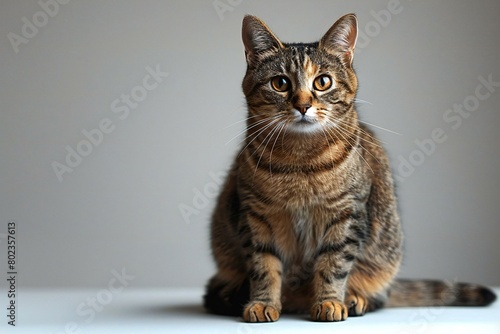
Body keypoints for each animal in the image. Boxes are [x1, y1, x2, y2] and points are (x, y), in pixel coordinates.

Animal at [202, 13, 496, 324]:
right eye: (280, 83)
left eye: (323, 82)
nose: (303, 105)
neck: (300, 162)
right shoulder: (256, 216)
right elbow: (263, 267)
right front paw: (261, 303)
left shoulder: (346, 214)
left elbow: (333, 264)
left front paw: (330, 302)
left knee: (378, 295)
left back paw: (355, 299)